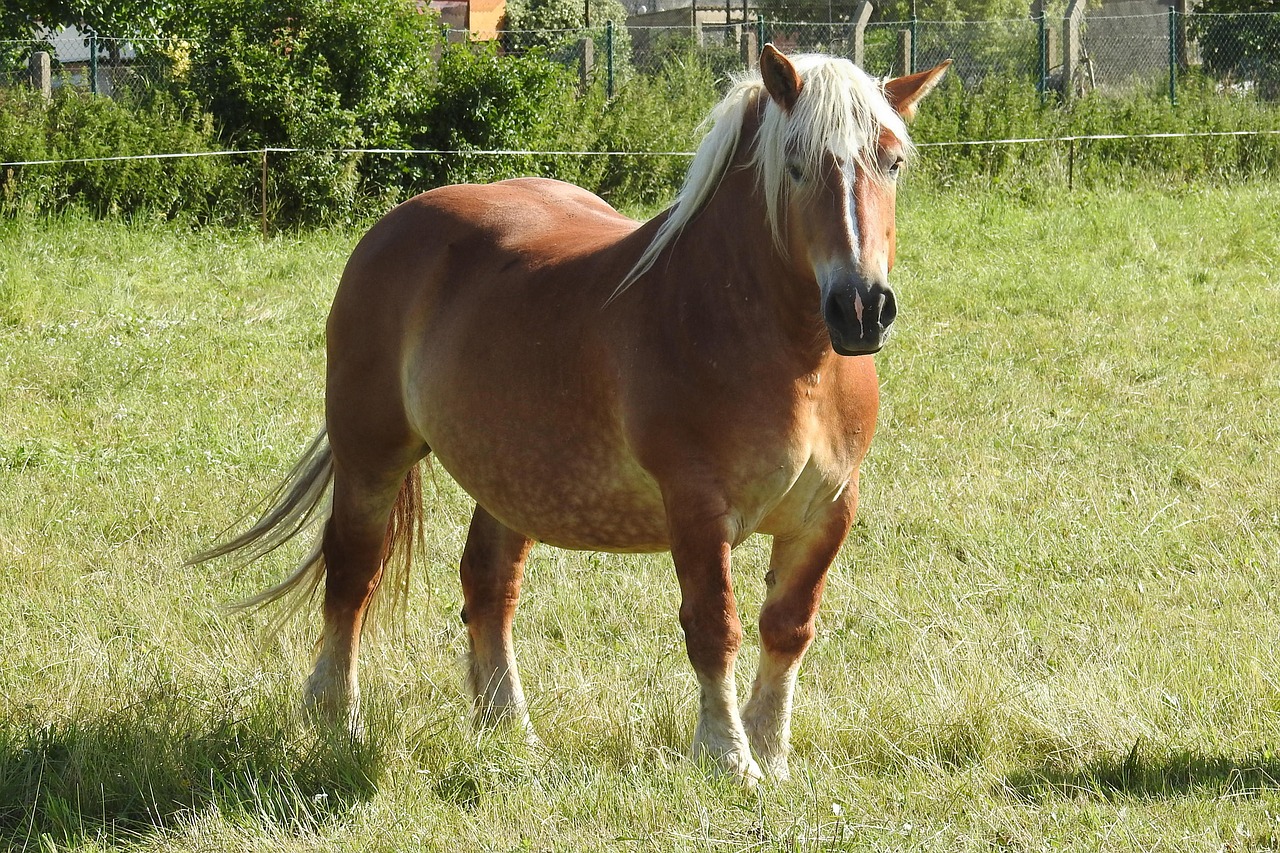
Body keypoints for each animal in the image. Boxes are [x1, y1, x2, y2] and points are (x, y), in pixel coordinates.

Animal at [192, 46, 952, 783]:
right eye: (795, 165)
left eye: (893, 160)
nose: (861, 308)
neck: (789, 355)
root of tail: (395, 225)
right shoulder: (697, 510)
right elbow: (715, 628)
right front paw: (727, 758)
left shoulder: (829, 509)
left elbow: (788, 628)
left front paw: (771, 753)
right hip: (371, 453)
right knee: (353, 574)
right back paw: (336, 718)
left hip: (511, 475)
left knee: (487, 585)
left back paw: (509, 730)